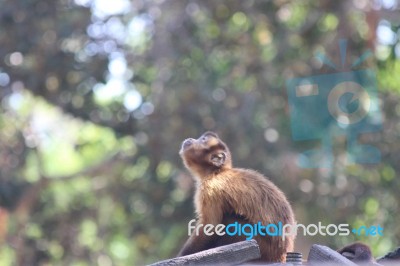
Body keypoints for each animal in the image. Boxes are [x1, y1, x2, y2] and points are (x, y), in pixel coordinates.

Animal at [178, 131, 296, 262]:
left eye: (202, 140)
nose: (190, 139)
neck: (216, 172)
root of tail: (283, 253)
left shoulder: (210, 188)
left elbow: (210, 226)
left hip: (263, 246)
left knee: (229, 219)